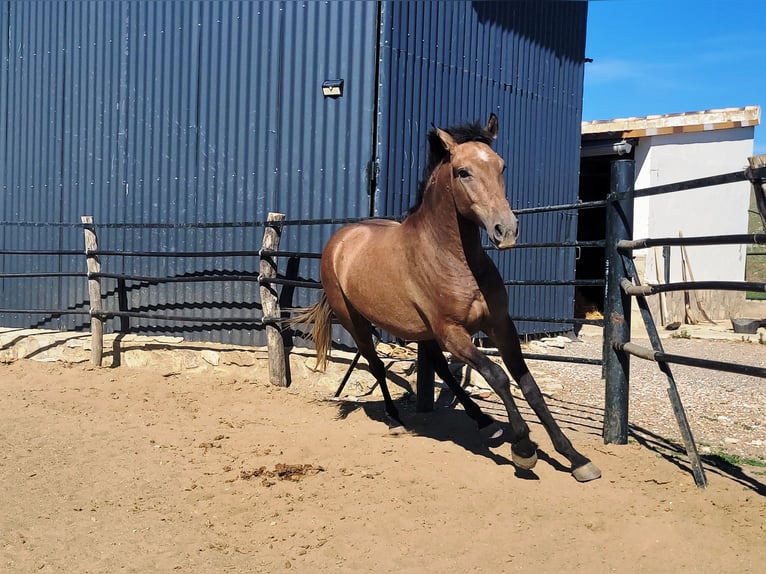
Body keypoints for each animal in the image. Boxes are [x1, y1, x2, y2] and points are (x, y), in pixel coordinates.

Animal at [296, 115, 604, 484]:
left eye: (501, 166)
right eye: (463, 172)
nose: (506, 231)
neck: (454, 259)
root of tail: (340, 239)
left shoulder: (500, 326)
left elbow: (528, 384)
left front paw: (575, 458)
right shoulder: (452, 331)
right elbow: (497, 376)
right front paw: (523, 448)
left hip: (422, 330)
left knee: (439, 367)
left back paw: (483, 421)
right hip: (355, 321)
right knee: (377, 364)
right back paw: (395, 418)